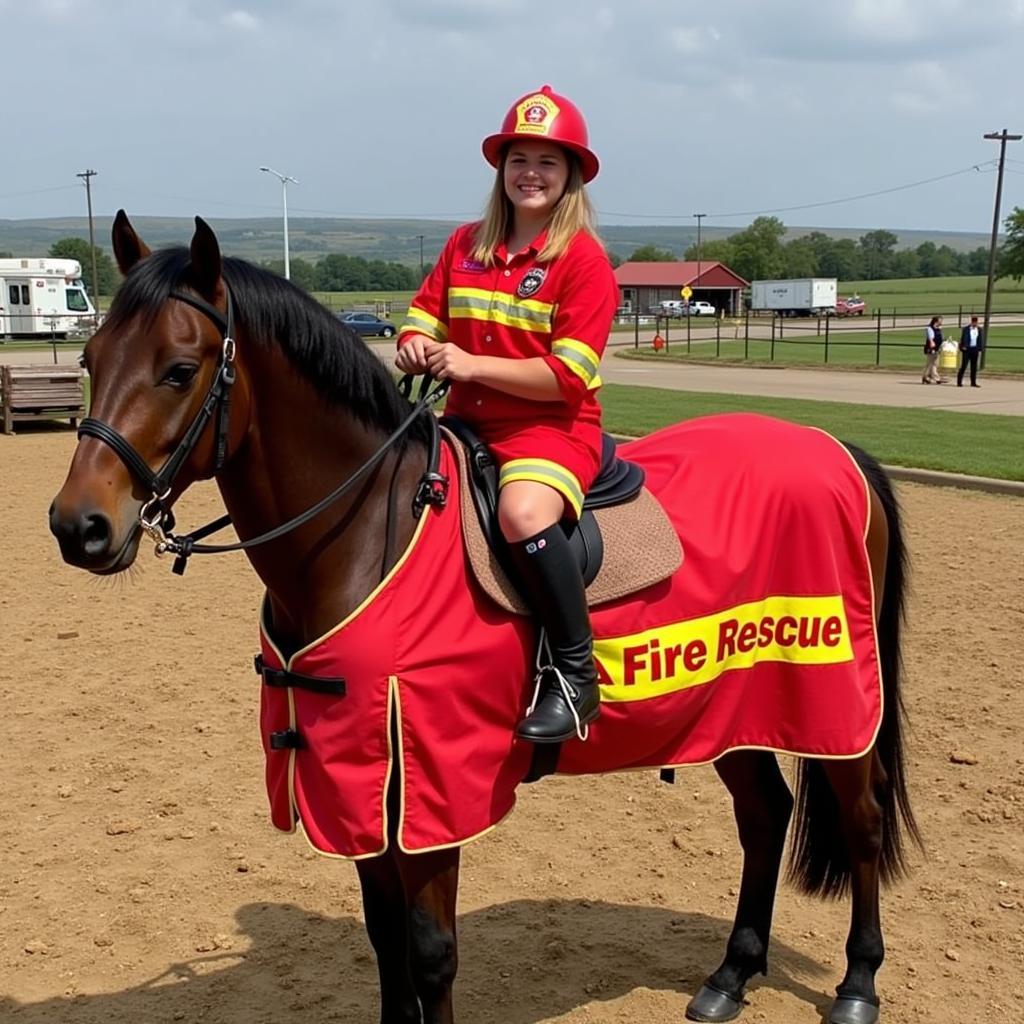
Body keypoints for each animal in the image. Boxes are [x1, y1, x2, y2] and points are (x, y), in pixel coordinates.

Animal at [48, 209, 921, 1024]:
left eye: (179, 370)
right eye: (90, 361)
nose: (77, 526)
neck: (365, 532)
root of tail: (834, 449)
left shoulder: (433, 786)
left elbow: (431, 954)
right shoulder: (358, 779)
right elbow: (384, 938)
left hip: (833, 701)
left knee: (863, 823)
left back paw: (858, 984)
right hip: (726, 706)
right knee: (764, 814)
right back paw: (732, 975)